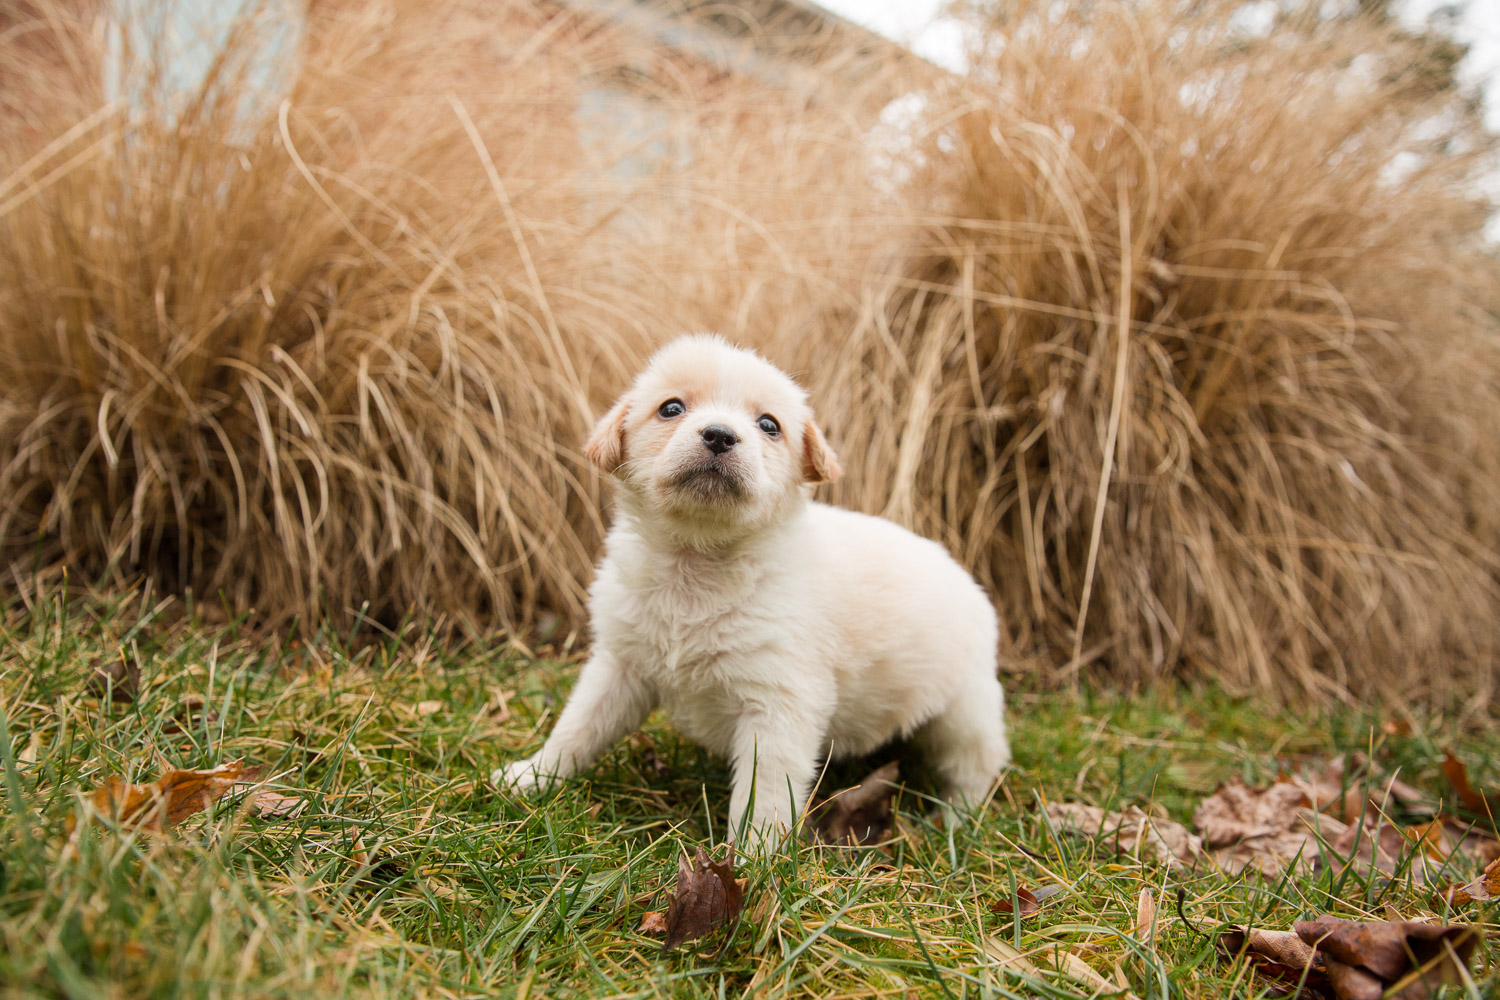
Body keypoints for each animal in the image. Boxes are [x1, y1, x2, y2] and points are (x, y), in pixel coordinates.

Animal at [498, 338, 1014, 845]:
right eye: (671, 408)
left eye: (769, 425)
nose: (720, 435)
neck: (696, 563)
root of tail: (965, 576)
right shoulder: (619, 668)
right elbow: (576, 729)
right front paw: (531, 778)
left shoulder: (778, 706)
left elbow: (762, 798)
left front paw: (751, 859)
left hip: (965, 711)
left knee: (976, 766)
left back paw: (954, 824)